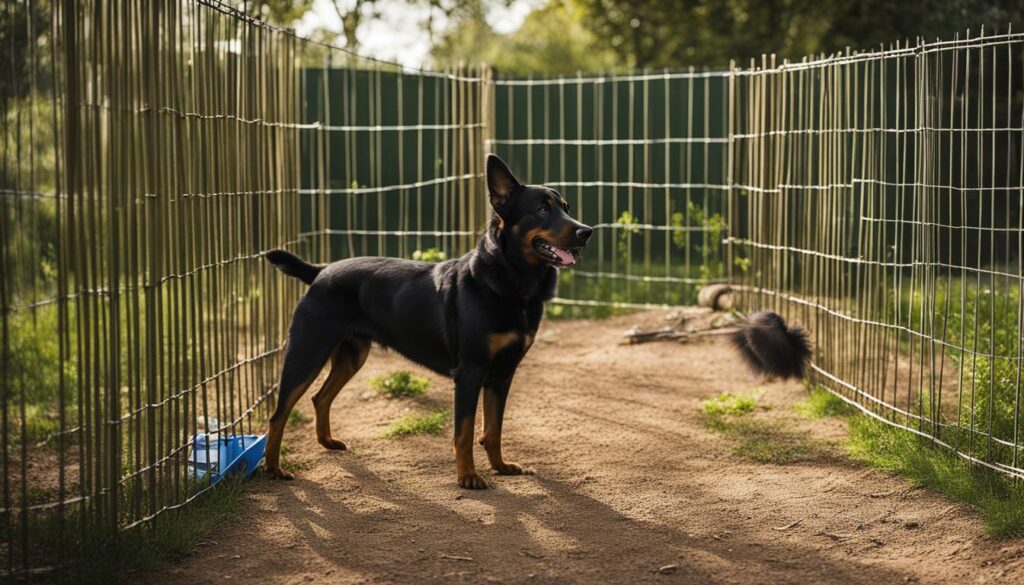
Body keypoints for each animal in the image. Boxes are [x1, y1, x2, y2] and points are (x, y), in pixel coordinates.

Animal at [262, 154, 593, 489]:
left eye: (566, 207)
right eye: (542, 209)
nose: (586, 231)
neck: (511, 283)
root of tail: (321, 271)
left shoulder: (503, 373)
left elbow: (493, 430)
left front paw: (500, 467)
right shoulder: (470, 372)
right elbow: (465, 432)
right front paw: (468, 477)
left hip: (351, 356)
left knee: (320, 398)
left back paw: (327, 442)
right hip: (307, 354)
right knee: (278, 415)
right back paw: (274, 468)